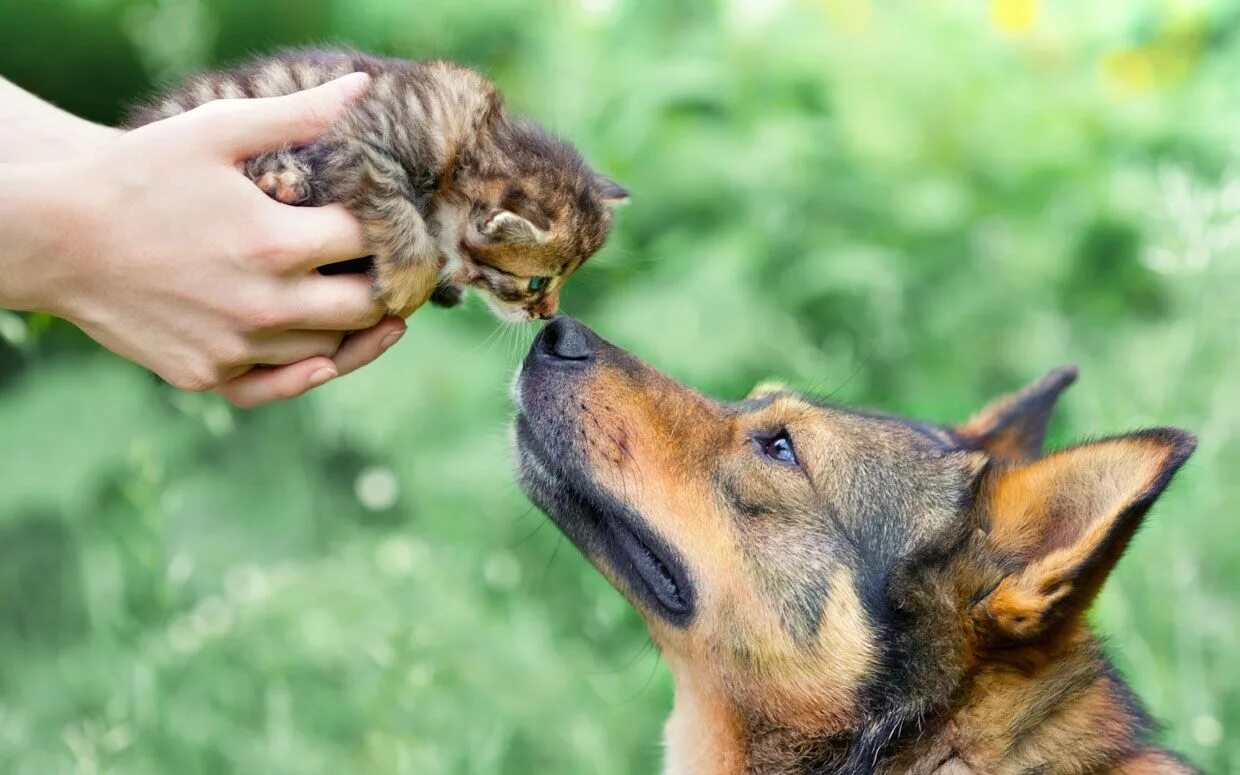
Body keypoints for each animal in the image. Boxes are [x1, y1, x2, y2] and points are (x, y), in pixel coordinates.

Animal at [130, 48, 624, 319]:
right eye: (538, 282)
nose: (547, 316)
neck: (471, 141)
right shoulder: (358, 145)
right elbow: (398, 209)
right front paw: (411, 279)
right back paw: (283, 180)